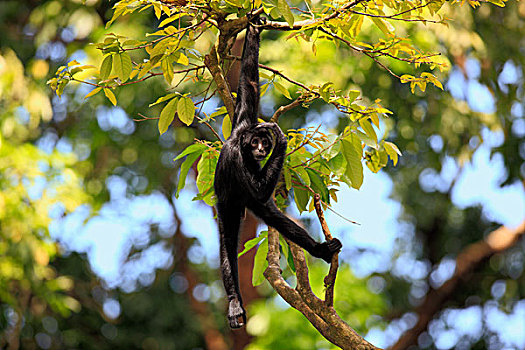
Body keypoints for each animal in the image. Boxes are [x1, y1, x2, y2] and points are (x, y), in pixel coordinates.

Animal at [214, 15, 342, 328]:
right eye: (256, 143)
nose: (262, 149)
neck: (242, 141)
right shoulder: (236, 154)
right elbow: (260, 190)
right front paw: (283, 139)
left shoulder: (243, 121)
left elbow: (248, 83)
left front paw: (254, 28)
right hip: (228, 204)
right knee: (227, 245)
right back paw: (234, 303)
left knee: (273, 216)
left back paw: (321, 250)